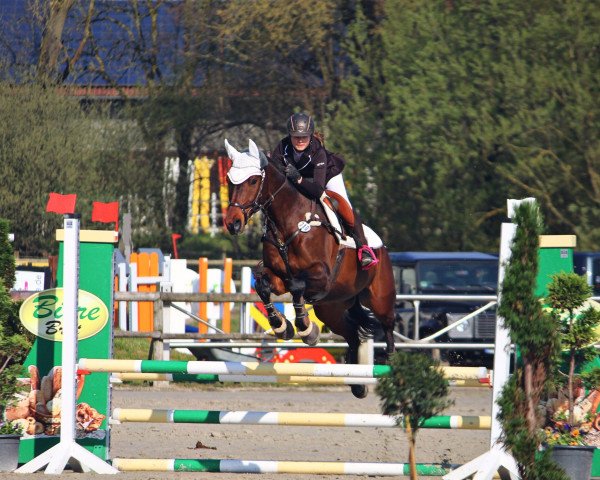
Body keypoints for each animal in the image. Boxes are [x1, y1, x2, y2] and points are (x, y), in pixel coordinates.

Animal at [223, 139, 396, 398]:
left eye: (253, 181)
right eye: (228, 179)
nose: (232, 223)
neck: (290, 222)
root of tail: (382, 246)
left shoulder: (321, 277)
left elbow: (297, 286)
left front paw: (305, 327)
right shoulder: (277, 277)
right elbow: (263, 285)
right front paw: (281, 326)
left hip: (379, 299)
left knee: (388, 326)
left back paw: (392, 367)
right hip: (331, 308)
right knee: (352, 335)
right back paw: (357, 384)